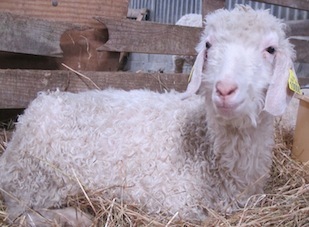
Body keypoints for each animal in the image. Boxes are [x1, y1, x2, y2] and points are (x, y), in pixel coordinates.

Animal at [0, 5, 294, 225]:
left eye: (271, 49)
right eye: (209, 45)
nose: (224, 89)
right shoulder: (169, 199)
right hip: (35, 178)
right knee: (22, 212)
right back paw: (75, 217)